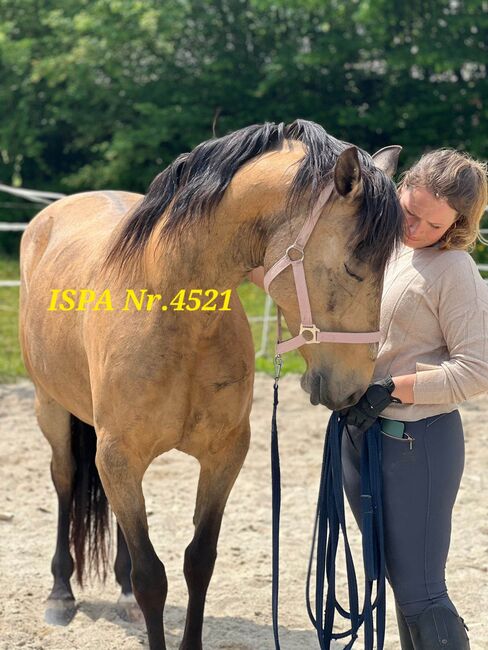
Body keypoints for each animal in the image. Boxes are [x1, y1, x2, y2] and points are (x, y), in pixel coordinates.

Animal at [17, 119, 402, 644]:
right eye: (353, 266)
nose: (355, 388)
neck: (173, 311)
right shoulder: (120, 456)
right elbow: (151, 577)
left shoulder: (222, 456)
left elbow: (199, 561)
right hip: (51, 410)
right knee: (64, 480)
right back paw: (60, 594)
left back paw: (120, 596)